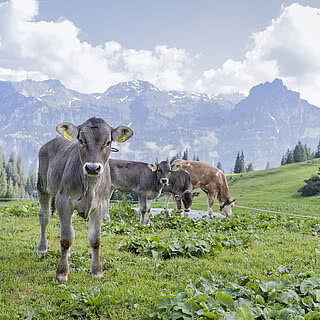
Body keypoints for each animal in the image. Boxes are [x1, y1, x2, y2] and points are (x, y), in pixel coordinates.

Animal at [36, 117, 132, 280]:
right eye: (81, 140)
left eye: (108, 142)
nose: (92, 168)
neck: (90, 185)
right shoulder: (64, 201)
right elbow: (66, 238)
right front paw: (62, 272)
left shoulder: (100, 205)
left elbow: (95, 239)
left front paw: (97, 272)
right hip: (42, 186)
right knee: (44, 216)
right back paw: (42, 248)